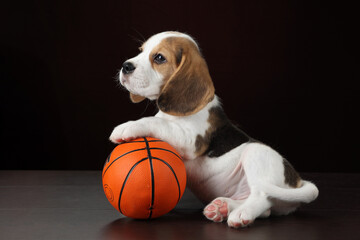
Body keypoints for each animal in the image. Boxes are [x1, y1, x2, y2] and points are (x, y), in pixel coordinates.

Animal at [109, 31, 318, 228]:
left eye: (159, 57)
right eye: (141, 50)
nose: (125, 66)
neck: (174, 113)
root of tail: (297, 181)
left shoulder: (191, 141)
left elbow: (156, 122)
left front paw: (127, 126)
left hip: (256, 153)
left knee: (261, 195)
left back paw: (241, 214)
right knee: (266, 209)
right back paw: (223, 207)